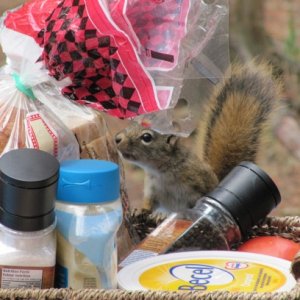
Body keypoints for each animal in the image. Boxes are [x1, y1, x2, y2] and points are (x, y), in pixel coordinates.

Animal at [114, 61, 282, 216]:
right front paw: (141, 211)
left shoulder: (197, 182)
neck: (161, 171)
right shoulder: (152, 189)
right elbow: (149, 204)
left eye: (146, 137)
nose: (117, 138)